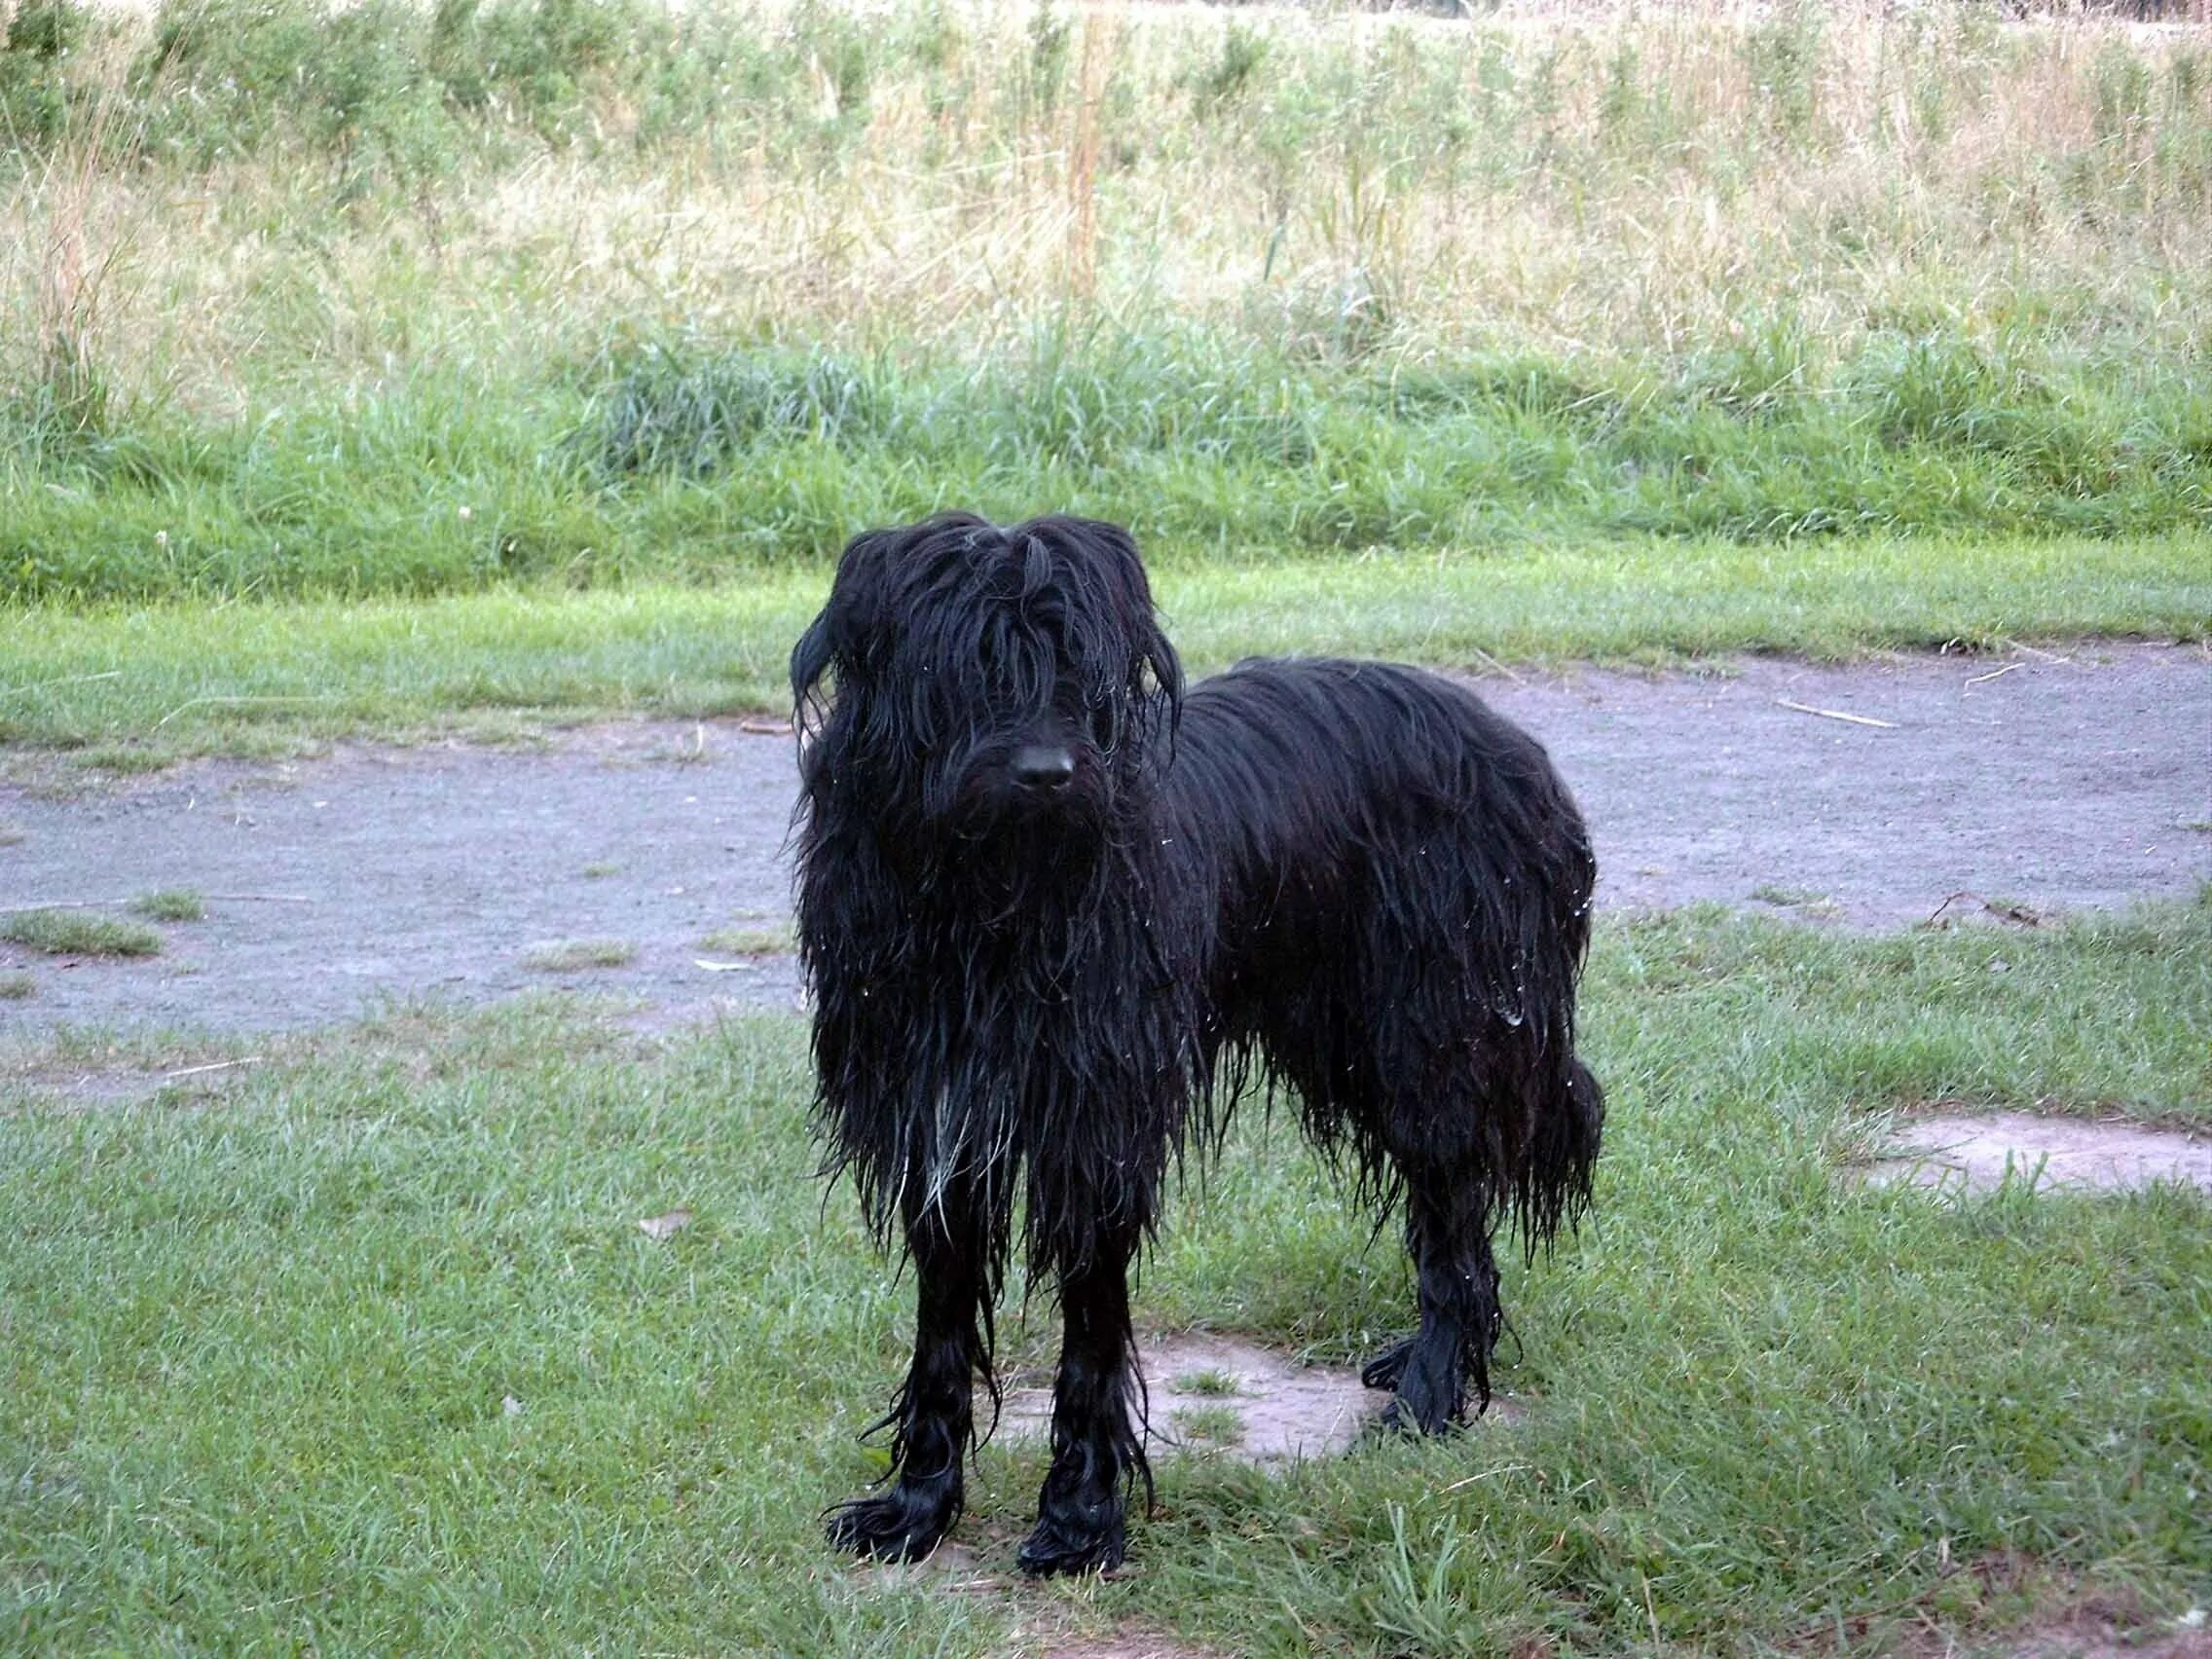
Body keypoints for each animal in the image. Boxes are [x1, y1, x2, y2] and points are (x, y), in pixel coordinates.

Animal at [795, 513, 1610, 1574]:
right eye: (972, 667)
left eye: (1079, 668)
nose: (1048, 775)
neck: (990, 906)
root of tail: (1516, 747)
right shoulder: (939, 1127)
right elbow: (940, 1334)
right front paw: (916, 1507)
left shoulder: (1095, 1130)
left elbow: (1091, 1338)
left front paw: (1080, 1521)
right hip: (1353, 1040)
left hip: (1433, 1037)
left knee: (1454, 1226)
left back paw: (1431, 1395)